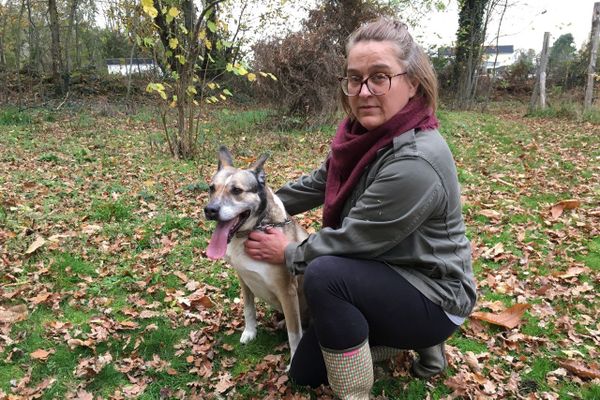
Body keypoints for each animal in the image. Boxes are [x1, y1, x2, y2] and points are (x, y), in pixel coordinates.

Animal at [206, 146, 310, 360]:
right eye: (211, 188)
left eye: (237, 190)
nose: (210, 210)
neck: (249, 232)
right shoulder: (244, 278)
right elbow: (248, 309)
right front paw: (250, 332)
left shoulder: (288, 292)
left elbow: (294, 334)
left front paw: (294, 361)